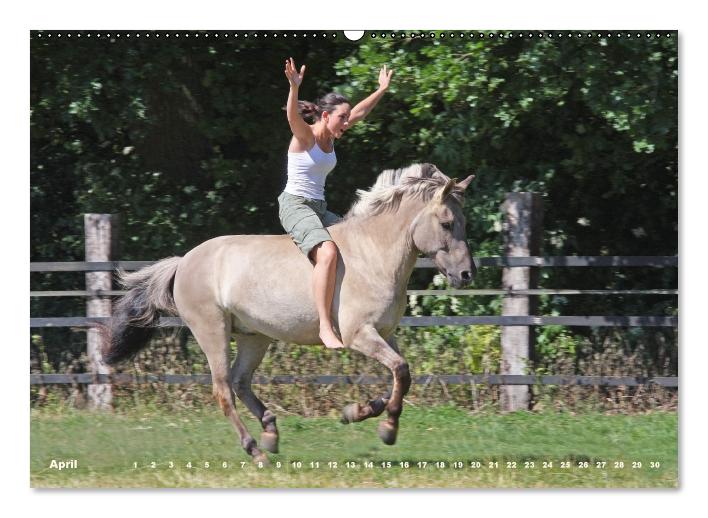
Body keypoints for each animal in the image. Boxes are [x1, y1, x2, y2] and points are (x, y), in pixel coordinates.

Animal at [102, 165, 472, 466]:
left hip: (254, 337)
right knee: (223, 390)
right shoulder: (360, 335)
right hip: (212, 332)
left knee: (240, 381)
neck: (372, 254)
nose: (467, 274)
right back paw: (255, 451)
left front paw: (356, 413)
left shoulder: (384, 333)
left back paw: (270, 434)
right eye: (446, 223)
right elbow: (401, 371)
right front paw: (387, 429)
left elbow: (401, 378)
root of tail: (184, 262)